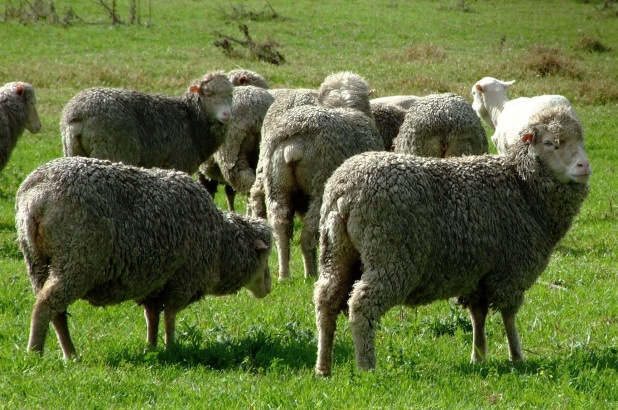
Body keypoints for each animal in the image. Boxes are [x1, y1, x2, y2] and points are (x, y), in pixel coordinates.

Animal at [16, 155, 272, 358]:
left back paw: (69, 354)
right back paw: (36, 352)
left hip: (38, 263)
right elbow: (169, 316)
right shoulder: (183, 280)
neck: (220, 244)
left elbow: (152, 317)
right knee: (46, 305)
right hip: (77, 260)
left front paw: (151, 348)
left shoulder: (155, 281)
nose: (269, 288)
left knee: (55, 312)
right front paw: (171, 347)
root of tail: (37, 198)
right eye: (266, 259)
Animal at [60, 71, 233, 174]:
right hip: (113, 151)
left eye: (231, 94)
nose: (227, 114)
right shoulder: (177, 164)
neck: (192, 119)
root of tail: (78, 114)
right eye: (209, 93)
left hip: (72, 151)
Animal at [254, 72, 380, 280]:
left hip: (275, 184)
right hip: (320, 185)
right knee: (308, 234)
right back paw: (311, 273)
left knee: (280, 227)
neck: (342, 104)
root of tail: (293, 146)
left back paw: (284, 274)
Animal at [316, 103, 588, 374]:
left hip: (337, 251)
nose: (584, 166)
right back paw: (367, 367)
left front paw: (478, 356)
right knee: (362, 305)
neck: (523, 186)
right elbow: (508, 317)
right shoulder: (511, 272)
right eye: (550, 142)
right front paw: (516, 357)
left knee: (326, 300)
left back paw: (324, 367)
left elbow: (478, 316)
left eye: (580, 140)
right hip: (391, 255)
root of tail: (344, 189)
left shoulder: (478, 274)